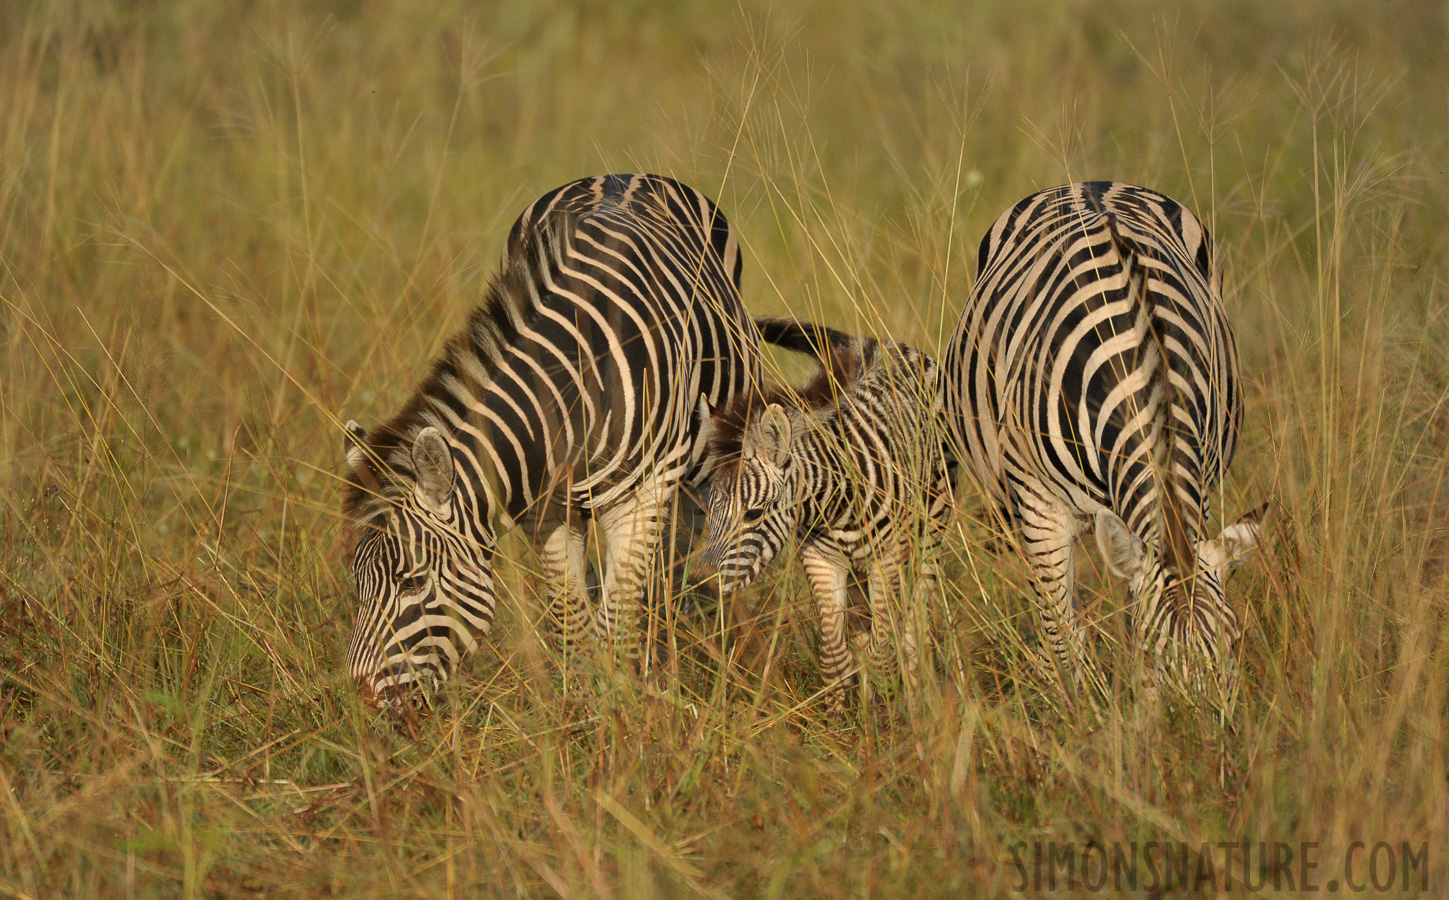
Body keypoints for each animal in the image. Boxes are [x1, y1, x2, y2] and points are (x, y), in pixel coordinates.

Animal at [340, 173, 765, 710]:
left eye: (413, 581)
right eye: (357, 581)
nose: (360, 702)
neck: (570, 394)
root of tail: (626, 172)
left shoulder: (642, 494)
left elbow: (616, 617)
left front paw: (617, 710)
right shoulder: (544, 510)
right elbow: (572, 618)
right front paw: (580, 707)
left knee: (679, 554)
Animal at [698, 318, 956, 704]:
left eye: (753, 515)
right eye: (710, 511)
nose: (703, 581)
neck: (836, 504)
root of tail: (880, 343)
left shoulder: (888, 559)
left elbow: (882, 652)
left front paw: (885, 711)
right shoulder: (819, 560)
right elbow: (835, 656)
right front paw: (845, 714)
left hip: (928, 535)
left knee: (915, 619)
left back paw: (916, 692)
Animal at [938, 180, 1269, 701]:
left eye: (1236, 639)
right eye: (1148, 647)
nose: (1199, 723)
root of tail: (1090, 184)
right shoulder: (1041, 510)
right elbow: (1063, 637)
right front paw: (1079, 709)